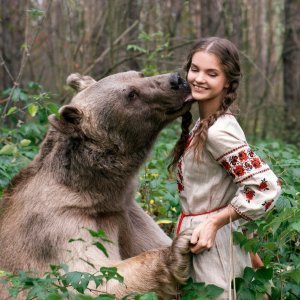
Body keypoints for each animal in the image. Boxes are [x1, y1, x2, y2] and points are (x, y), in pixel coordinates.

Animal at [0, 70, 193, 298]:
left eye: (139, 74)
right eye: (131, 94)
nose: (177, 80)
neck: (96, 191)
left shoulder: (125, 213)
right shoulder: (57, 228)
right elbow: (92, 278)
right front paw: (179, 248)